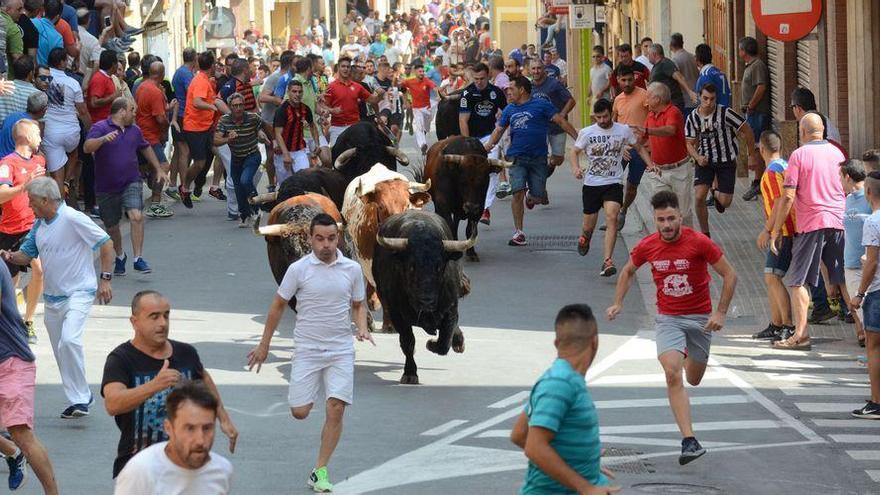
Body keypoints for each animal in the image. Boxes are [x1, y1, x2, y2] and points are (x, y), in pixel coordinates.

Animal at [374, 211, 478, 386]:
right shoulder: (397, 314)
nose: (426, 300)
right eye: (411, 267)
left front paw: (432, 344)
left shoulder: (451, 309)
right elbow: (408, 342)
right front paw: (410, 373)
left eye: (439, 267)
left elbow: (444, 342)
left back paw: (458, 342)